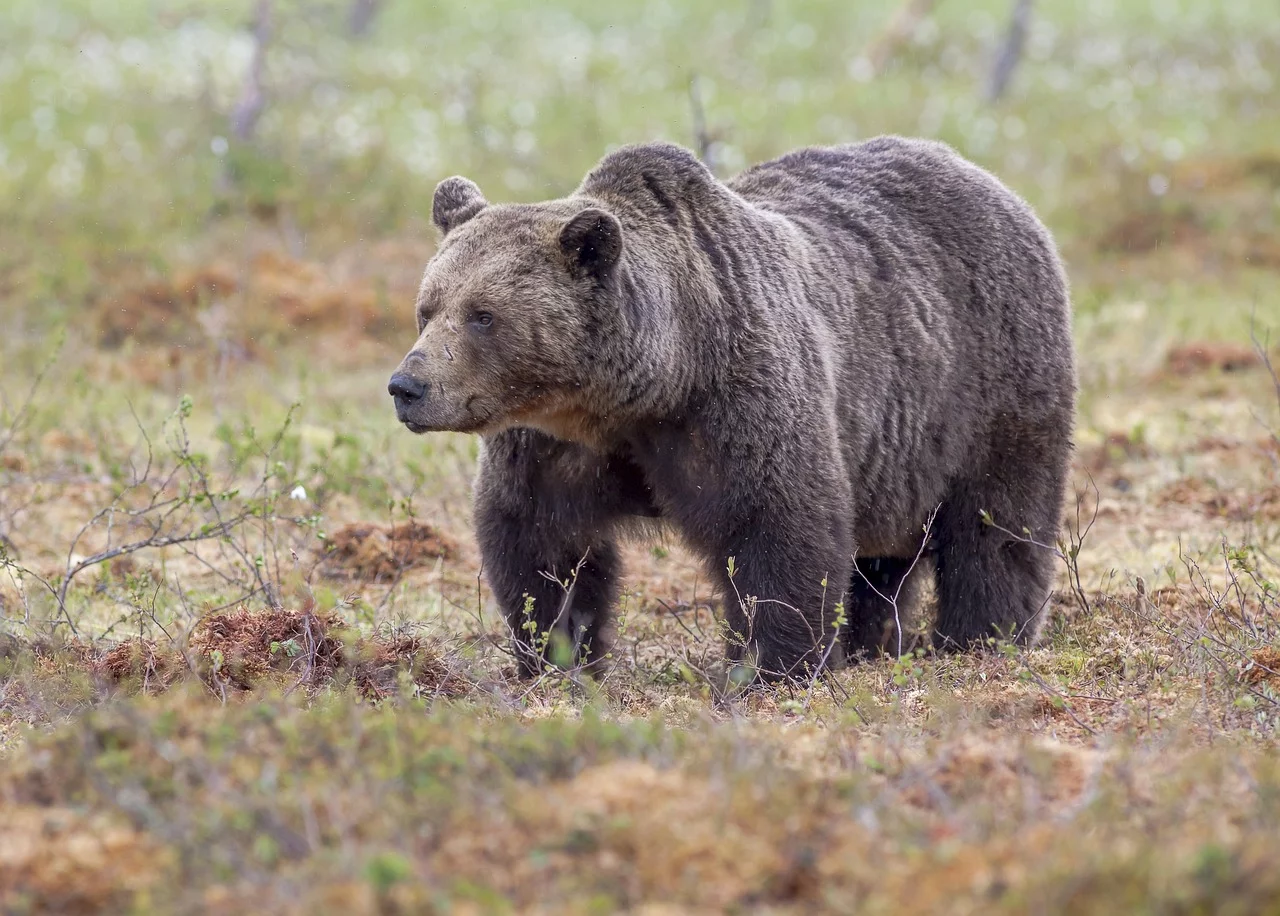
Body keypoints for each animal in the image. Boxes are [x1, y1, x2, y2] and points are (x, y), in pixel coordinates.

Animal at [384, 136, 1075, 680]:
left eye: (483, 315)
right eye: (428, 307)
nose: (406, 386)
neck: (644, 389)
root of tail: (991, 181)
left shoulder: (735, 399)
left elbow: (779, 528)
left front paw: (773, 665)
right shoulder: (554, 445)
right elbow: (541, 543)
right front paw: (557, 656)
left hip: (991, 380)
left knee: (996, 528)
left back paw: (981, 641)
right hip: (894, 455)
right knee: (881, 564)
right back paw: (871, 645)